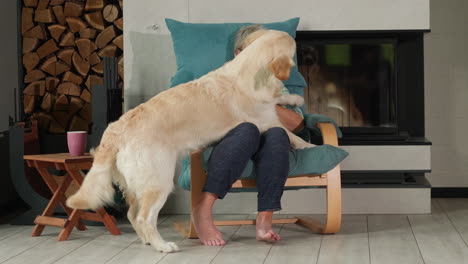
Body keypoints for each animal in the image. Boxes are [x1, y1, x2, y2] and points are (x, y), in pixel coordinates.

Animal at [66, 28, 314, 252]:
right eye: (294, 50)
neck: (249, 70)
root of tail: (116, 129)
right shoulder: (266, 121)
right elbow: (289, 133)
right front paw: (310, 144)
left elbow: (281, 100)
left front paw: (294, 98)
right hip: (159, 181)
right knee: (144, 218)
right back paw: (163, 246)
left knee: (131, 214)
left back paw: (147, 241)